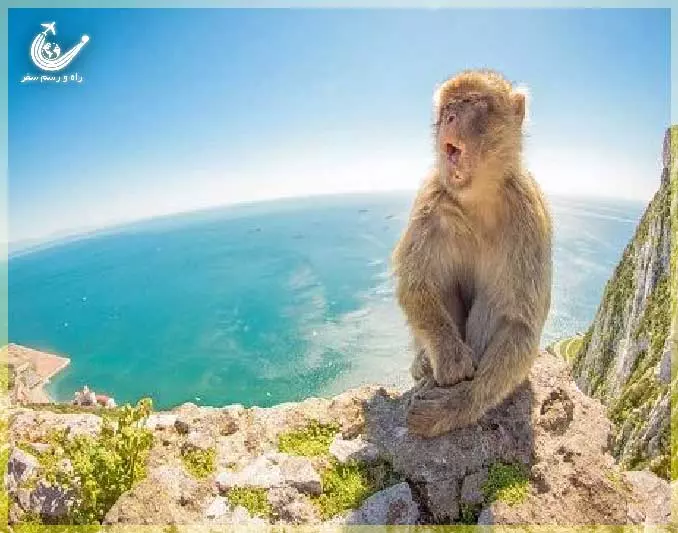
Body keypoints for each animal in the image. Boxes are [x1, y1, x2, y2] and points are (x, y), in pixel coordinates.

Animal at [392, 69, 552, 438]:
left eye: (469, 103)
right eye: (447, 107)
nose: (449, 117)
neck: (477, 199)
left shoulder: (528, 219)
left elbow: (519, 323)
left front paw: (458, 404)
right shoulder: (430, 202)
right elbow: (416, 285)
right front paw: (449, 358)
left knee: (494, 302)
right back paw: (427, 363)